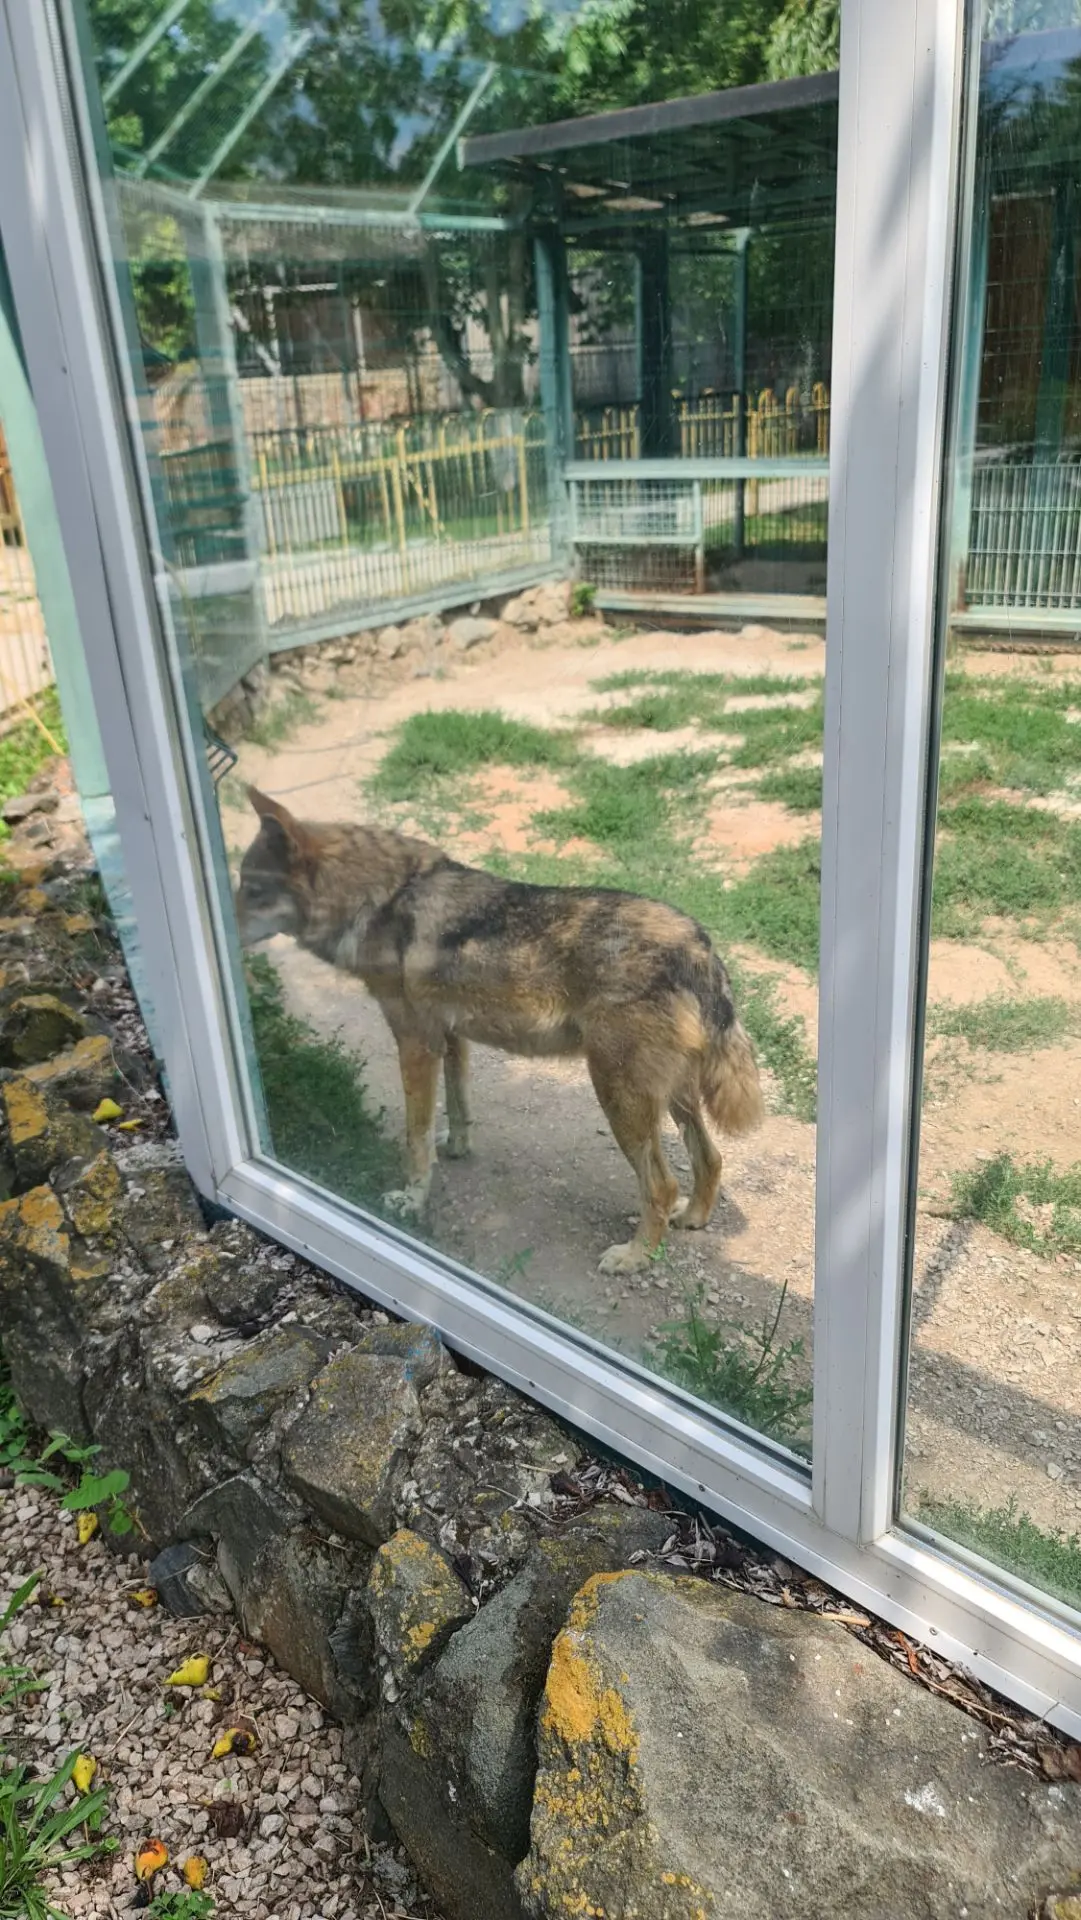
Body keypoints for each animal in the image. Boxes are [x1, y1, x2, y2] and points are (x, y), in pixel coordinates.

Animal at [235, 786, 764, 1273]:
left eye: (251, 891)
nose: (223, 921)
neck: (382, 898)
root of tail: (699, 945)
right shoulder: (449, 1037)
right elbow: (459, 1107)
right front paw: (457, 1149)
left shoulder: (415, 1044)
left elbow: (414, 1137)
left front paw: (411, 1200)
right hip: (670, 1096)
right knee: (711, 1158)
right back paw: (693, 1218)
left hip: (621, 1098)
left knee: (662, 1184)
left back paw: (634, 1257)